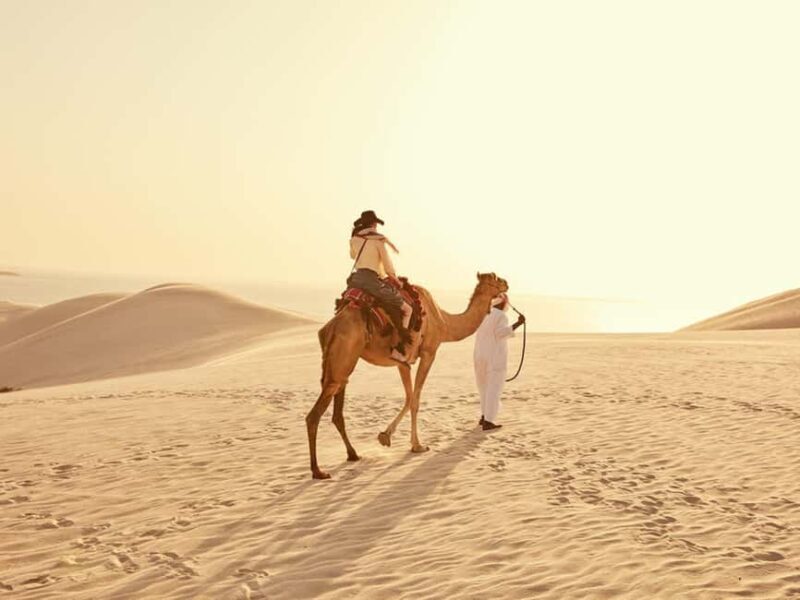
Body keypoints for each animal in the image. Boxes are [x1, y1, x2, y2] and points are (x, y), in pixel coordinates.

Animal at [306, 272, 509, 479]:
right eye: (496, 279)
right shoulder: (428, 353)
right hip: (343, 358)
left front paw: (385, 436)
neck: (443, 322)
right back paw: (318, 471)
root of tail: (331, 328)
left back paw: (353, 455)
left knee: (337, 410)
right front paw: (417, 445)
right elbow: (415, 399)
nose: (507, 284)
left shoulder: (402, 364)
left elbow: (409, 397)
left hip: (339, 366)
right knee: (314, 415)